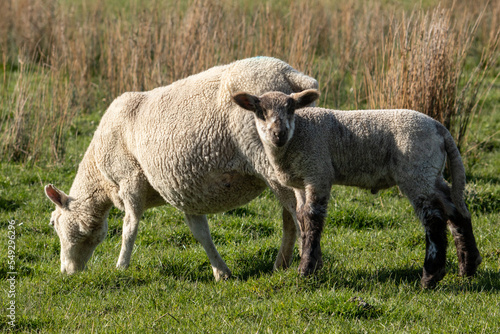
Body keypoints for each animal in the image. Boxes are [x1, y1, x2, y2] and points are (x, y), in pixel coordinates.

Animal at [45, 56, 318, 280]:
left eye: (53, 223)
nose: (66, 273)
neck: (101, 179)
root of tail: (289, 74)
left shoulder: (129, 179)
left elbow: (129, 227)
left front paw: (121, 266)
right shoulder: (186, 190)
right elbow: (200, 233)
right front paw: (221, 272)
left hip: (271, 161)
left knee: (298, 213)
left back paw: (305, 267)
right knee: (289, 216)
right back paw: (281, 264)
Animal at [232, 88, 482, 288]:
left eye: (291, 109)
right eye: (260, 111)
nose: (279, 134)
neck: (299, 135)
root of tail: (440, 128)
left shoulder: (318, 172)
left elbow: (313, 220)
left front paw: (306, 270)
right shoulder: (300, 183)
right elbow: (302, 218)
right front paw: (311, 264)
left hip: (417, 170)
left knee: (434, 220)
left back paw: (430, 277)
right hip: (431, 172)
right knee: (456, 210)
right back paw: (468, 267)